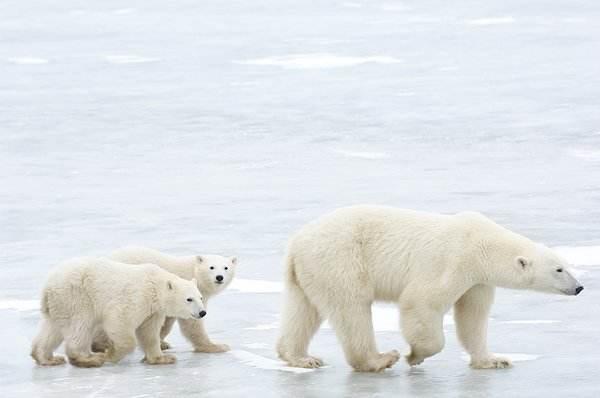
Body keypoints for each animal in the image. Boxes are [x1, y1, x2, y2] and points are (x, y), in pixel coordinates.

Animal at [278, 207, 584, 372]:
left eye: (566, 265)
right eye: (559, 269)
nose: (579, 287)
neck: (482, 244)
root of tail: (296, 243)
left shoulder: (477, 281)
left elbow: (473, 319)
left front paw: (494, 360)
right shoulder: (453, 260)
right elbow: (421, 302)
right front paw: (415, 355)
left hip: (307, 272)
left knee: (302, 311)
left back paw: (301, 358)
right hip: (341, 259)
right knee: (352, 309)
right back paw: (379, 359)